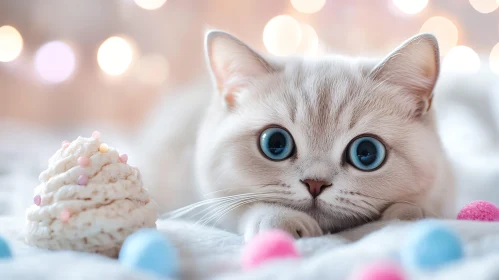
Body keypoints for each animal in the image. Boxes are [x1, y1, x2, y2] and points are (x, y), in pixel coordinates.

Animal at [139, 31, 456, 241]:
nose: (315, 183)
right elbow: (243, 208)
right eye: (275, 144)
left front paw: (405, 214)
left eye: (366, 153)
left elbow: (418, 209)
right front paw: (280, 219)